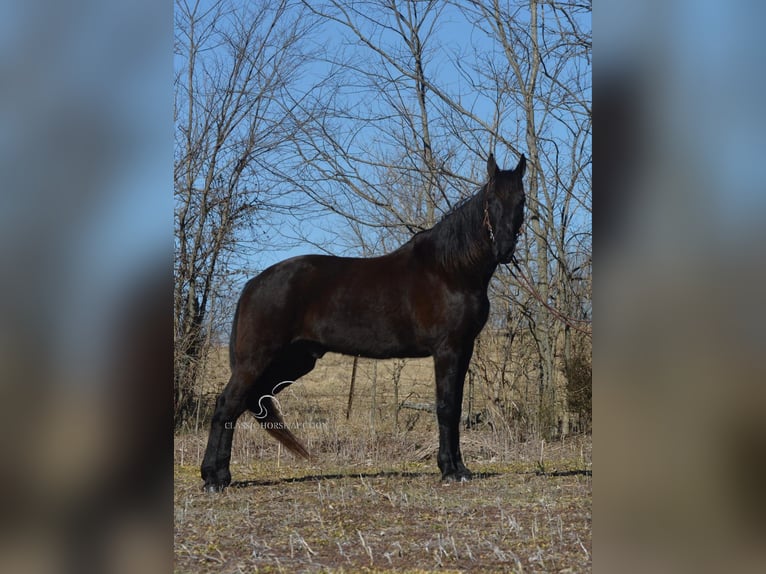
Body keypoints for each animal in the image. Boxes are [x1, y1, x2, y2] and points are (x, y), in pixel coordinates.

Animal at [202, 154, 528, 496]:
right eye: (491, 200)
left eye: (521, 200)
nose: (505, 249)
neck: (449, 270)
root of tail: (254, 283)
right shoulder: (447, 350)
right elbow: (446, 407)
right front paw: (450, 470)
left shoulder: (464, 349)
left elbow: (456, 406)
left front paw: (459, 468)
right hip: (257, 360)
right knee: (227, 404)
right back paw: (214, 479)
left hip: (294, 361)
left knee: (243, 403)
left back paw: (219, 476)